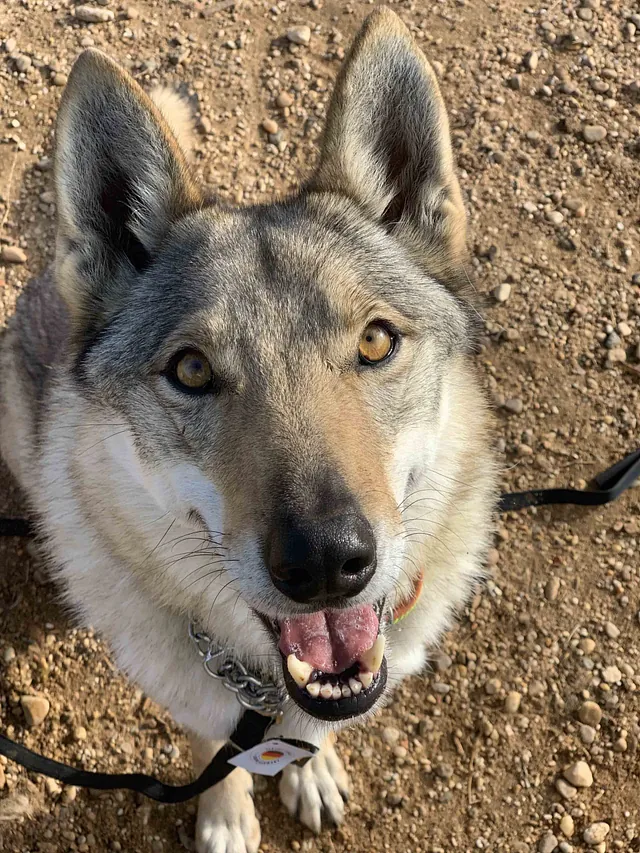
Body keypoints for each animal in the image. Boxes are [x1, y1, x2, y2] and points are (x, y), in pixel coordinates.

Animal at [0, 8, 498, 852]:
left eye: (376, 341)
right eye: (193, 369)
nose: (326, 562)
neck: (264, 691)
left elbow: (316, 732)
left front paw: (313, 769)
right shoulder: (195, 698)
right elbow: (212, 747)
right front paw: (228, 814)